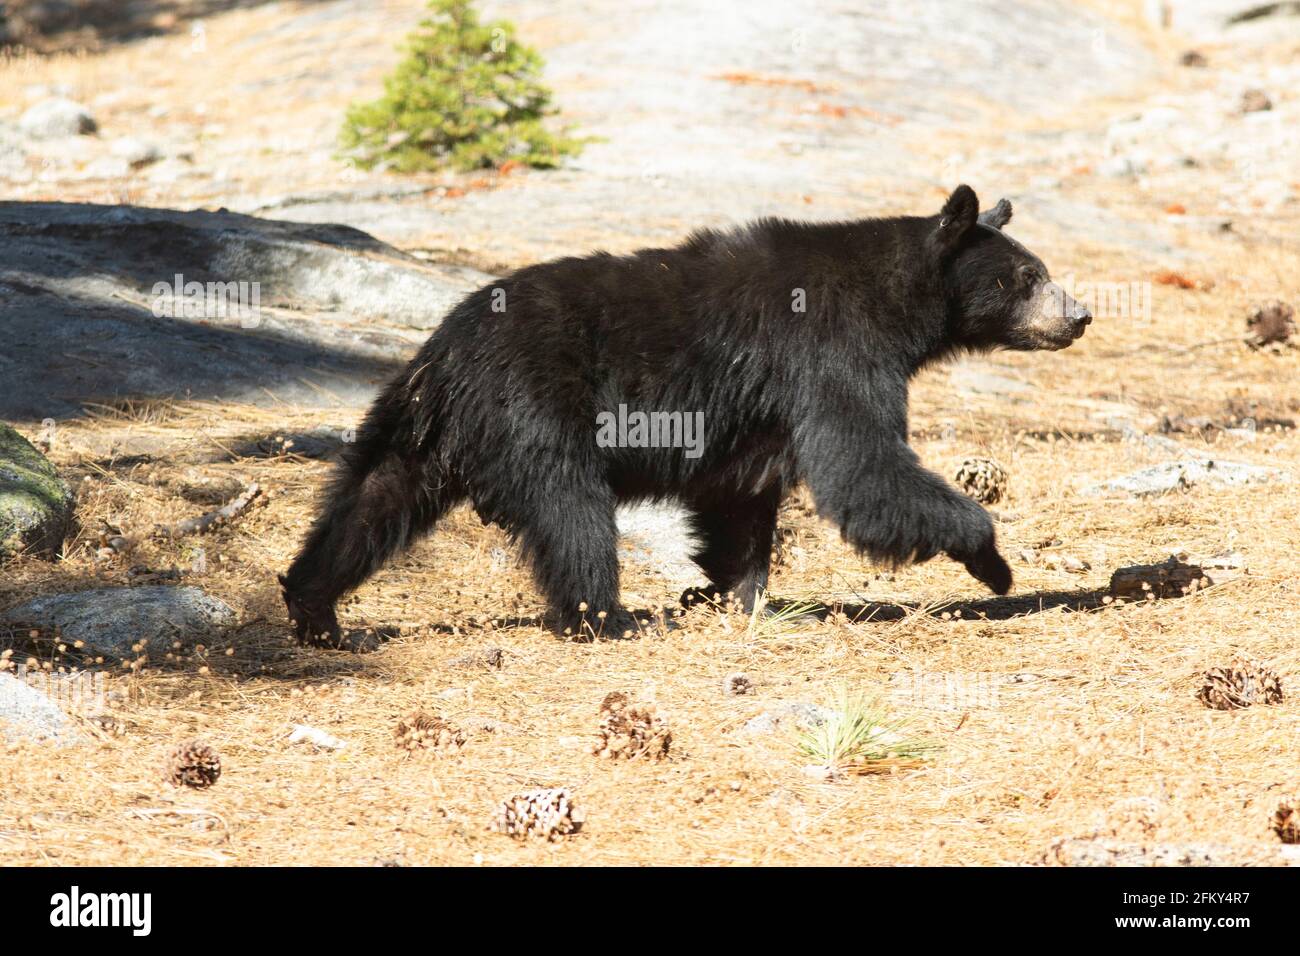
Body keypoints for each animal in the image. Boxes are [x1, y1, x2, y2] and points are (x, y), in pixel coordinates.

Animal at [282, 184, 1086, 642]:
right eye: (1027, 277)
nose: (1078, 314)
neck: (895, 299)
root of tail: (445, 351)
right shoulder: (830, 350)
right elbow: (862, 467)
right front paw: (994, 562)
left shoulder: (759, 413)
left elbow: (741, 497)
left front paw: (741, 595)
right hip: (537, 404)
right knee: (571, 512)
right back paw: (606, 618)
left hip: (420, 427)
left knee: (371, 499)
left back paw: (317, 610)